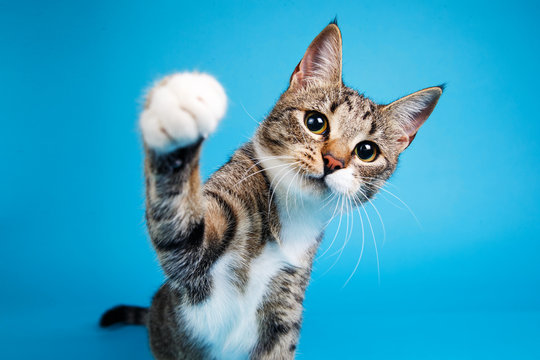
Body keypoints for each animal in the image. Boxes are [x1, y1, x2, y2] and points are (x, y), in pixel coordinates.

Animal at [100, 21, 442, 358]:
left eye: (367, 151)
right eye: (315, 122)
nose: (333, 161)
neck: (291, 213)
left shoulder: (284, 307)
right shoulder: (197, 253)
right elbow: (181, 230)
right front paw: (177, 115)